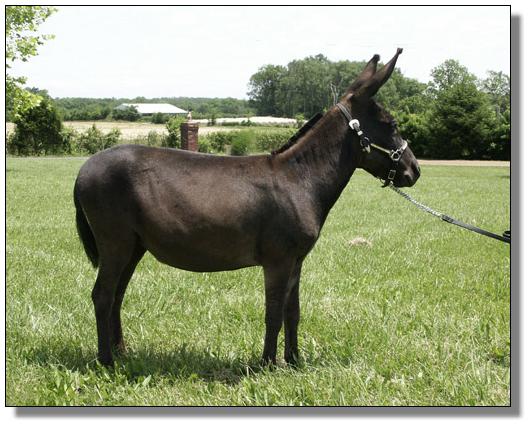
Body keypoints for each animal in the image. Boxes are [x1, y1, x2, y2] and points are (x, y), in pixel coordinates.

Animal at [74, 48, 420, 367]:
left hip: (134, 246)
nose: (415, 171)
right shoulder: (278, 260)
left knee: (117, 295)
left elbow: (293, 312)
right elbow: (274, 313)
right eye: (392, 124)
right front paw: (267, 364)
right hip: (115, 242)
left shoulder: (296, 260)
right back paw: (106, 360)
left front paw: (294, 361)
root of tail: (85, 168)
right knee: (102, 295)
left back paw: (122, 353)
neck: (300, 178)